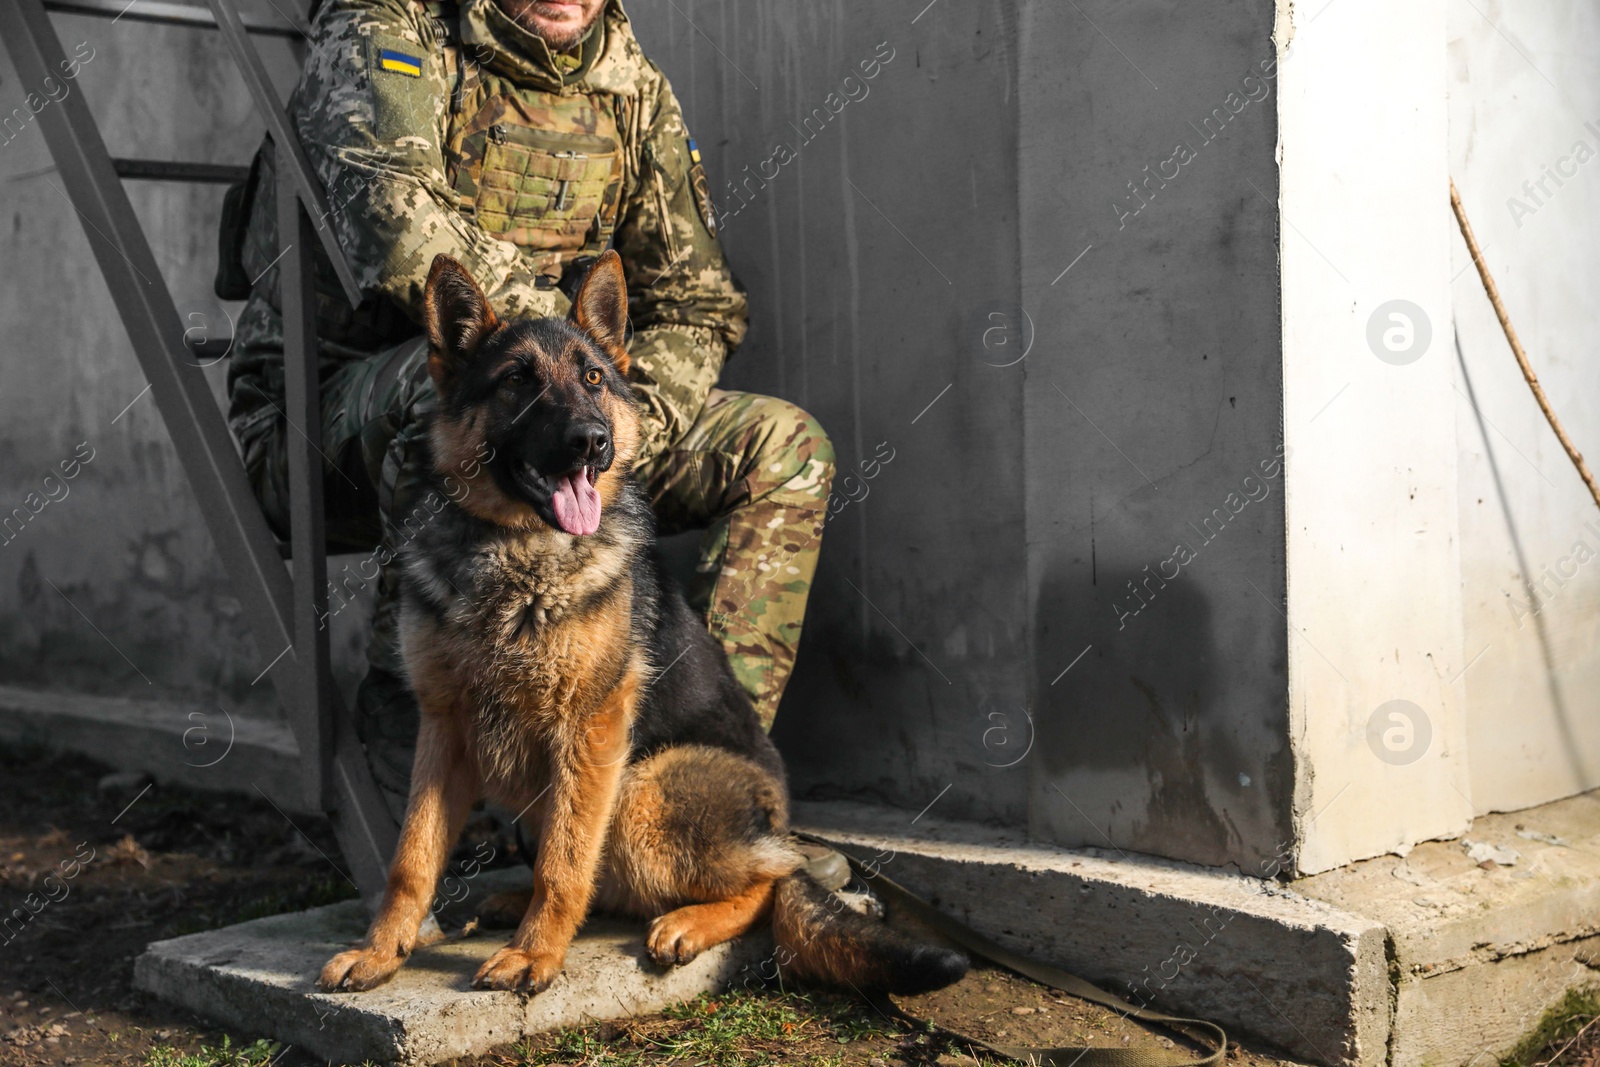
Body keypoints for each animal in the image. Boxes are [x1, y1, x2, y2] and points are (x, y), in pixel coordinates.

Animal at [312, 252, 960, 1004]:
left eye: (593, 378)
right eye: (516, 382)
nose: (593, 441)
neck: (515, 553)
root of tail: (774, 818)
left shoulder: (590, 726)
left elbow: (564, 861)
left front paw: (534, 954)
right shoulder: (443, 727)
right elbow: (411, 857)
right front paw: (381, 950)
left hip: (640, 790)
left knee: (769, 881)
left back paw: (685, 922)